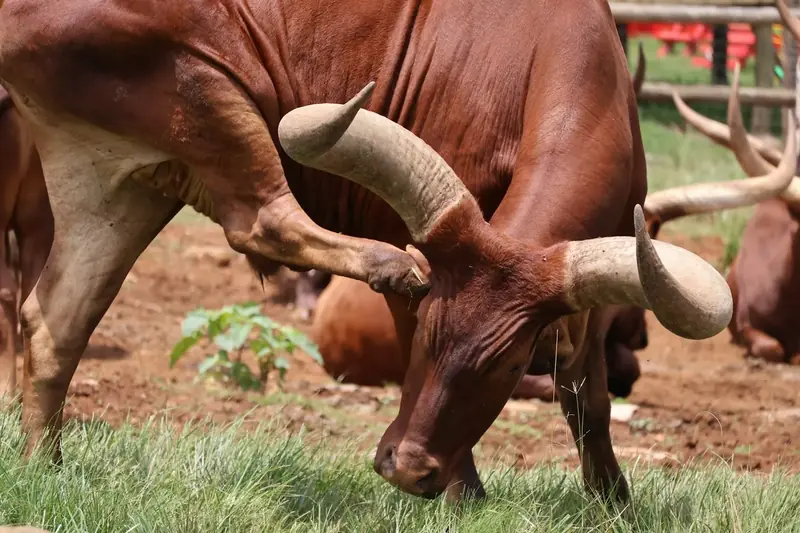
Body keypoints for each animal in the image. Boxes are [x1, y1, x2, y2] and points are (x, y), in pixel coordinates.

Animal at [0, 0, 735, 503]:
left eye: (511, 360)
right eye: (426, 333)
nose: (407, 467)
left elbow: (587, 393)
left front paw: (613, 497)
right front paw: (465, 495)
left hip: (118, 179)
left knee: (56, 321)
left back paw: (45, 464)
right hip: (204, 85)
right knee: (263, 220)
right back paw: (390, 264)